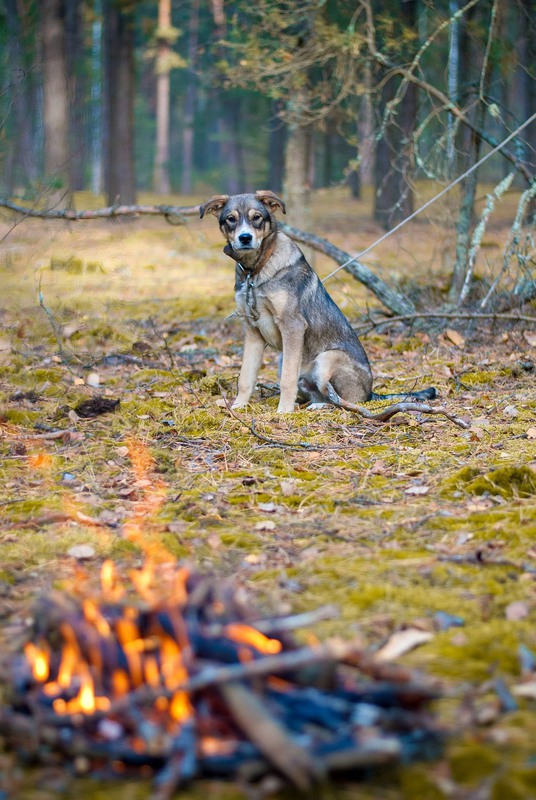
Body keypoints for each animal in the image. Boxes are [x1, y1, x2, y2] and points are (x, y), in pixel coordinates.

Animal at [200, 188, 436, 412]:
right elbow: (246, 377)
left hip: (326, 359)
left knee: (345, 401)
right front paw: (238, 408)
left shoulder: (293, 325)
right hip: (287, 360)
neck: (255, 271)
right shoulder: (252, 331)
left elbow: (287, 380)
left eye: (256, 217)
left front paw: (283, 412)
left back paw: (320, 406)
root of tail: (371, 392)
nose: (245, 238)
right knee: (318, 393)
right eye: (231, 219)